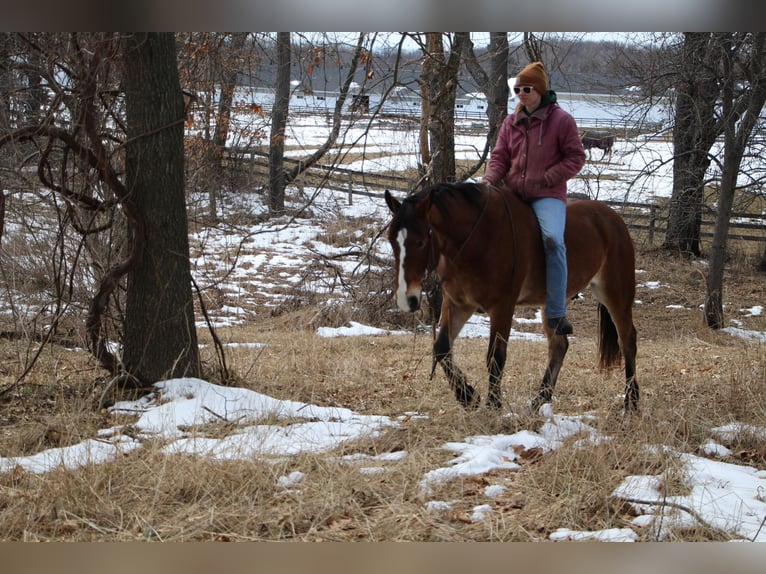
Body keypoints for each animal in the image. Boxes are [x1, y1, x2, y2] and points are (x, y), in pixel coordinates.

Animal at [384, 184, 640, 414]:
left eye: (420, 242)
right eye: (391, 241)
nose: (406, 299)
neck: (477, 239)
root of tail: (612, 218)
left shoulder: (502, 307)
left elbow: (495, 357)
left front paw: (493, 405)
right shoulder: (458, 304)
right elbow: (441, 348)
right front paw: (468, 397)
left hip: (616, 294)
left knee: (628, 340)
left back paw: (632, 402)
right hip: (552, 304)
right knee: (559, 346)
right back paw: (539, 401)